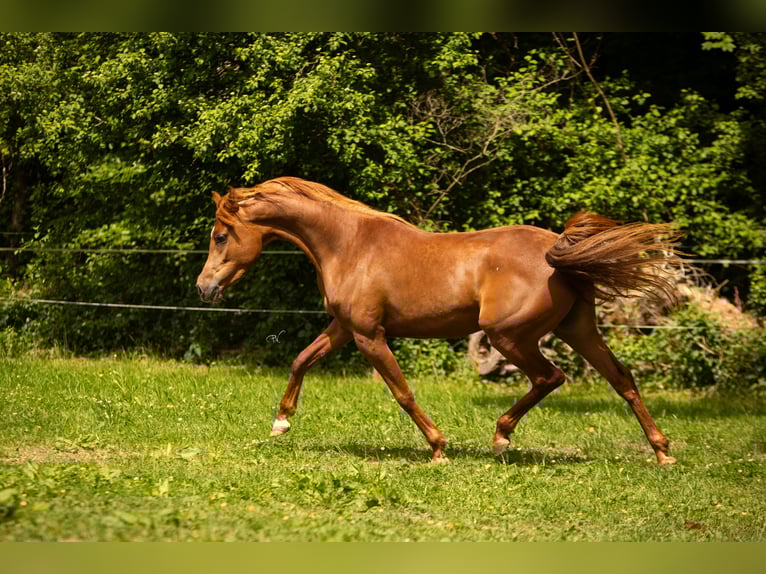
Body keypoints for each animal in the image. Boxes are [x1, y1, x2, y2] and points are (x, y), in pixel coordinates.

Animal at [196, 176, 682, 464]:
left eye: (220, 236)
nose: (203, 289)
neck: (348, 245)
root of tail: (555, 252)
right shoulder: (343, 329)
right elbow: (301, 359)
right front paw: (281, 423)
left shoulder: (370, 336)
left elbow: (402, 392)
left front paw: (438, 448)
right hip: (577, 329)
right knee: (621, 378)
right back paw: (662, 452)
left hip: (509, 337)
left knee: (551, 377)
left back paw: (501, 437)